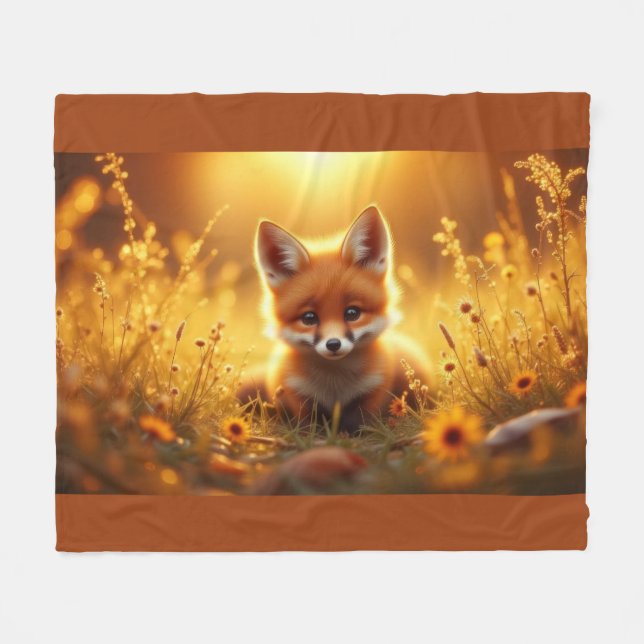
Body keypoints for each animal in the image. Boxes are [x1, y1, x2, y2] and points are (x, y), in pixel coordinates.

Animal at [239, 205, 429, 432]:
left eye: (352, 313)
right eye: (309, 317)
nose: (333, 344)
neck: (335, 388)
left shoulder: (374, 389)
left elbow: (362, 423)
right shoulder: (297, 394)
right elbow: (308, 426)